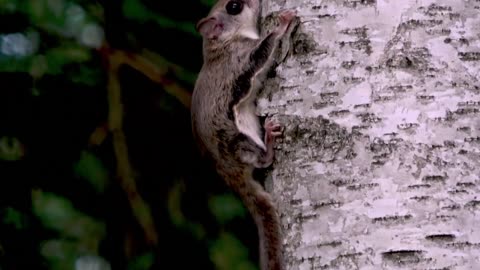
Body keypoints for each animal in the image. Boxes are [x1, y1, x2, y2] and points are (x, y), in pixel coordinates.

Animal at [190, 1, 296, 268]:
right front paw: (282, 25)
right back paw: (269, 141)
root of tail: (230, 173)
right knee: (262, 159)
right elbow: (262, 52)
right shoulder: (241, 58)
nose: (256, 2)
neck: (223, 44)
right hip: (237, 141)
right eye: (234, 6)